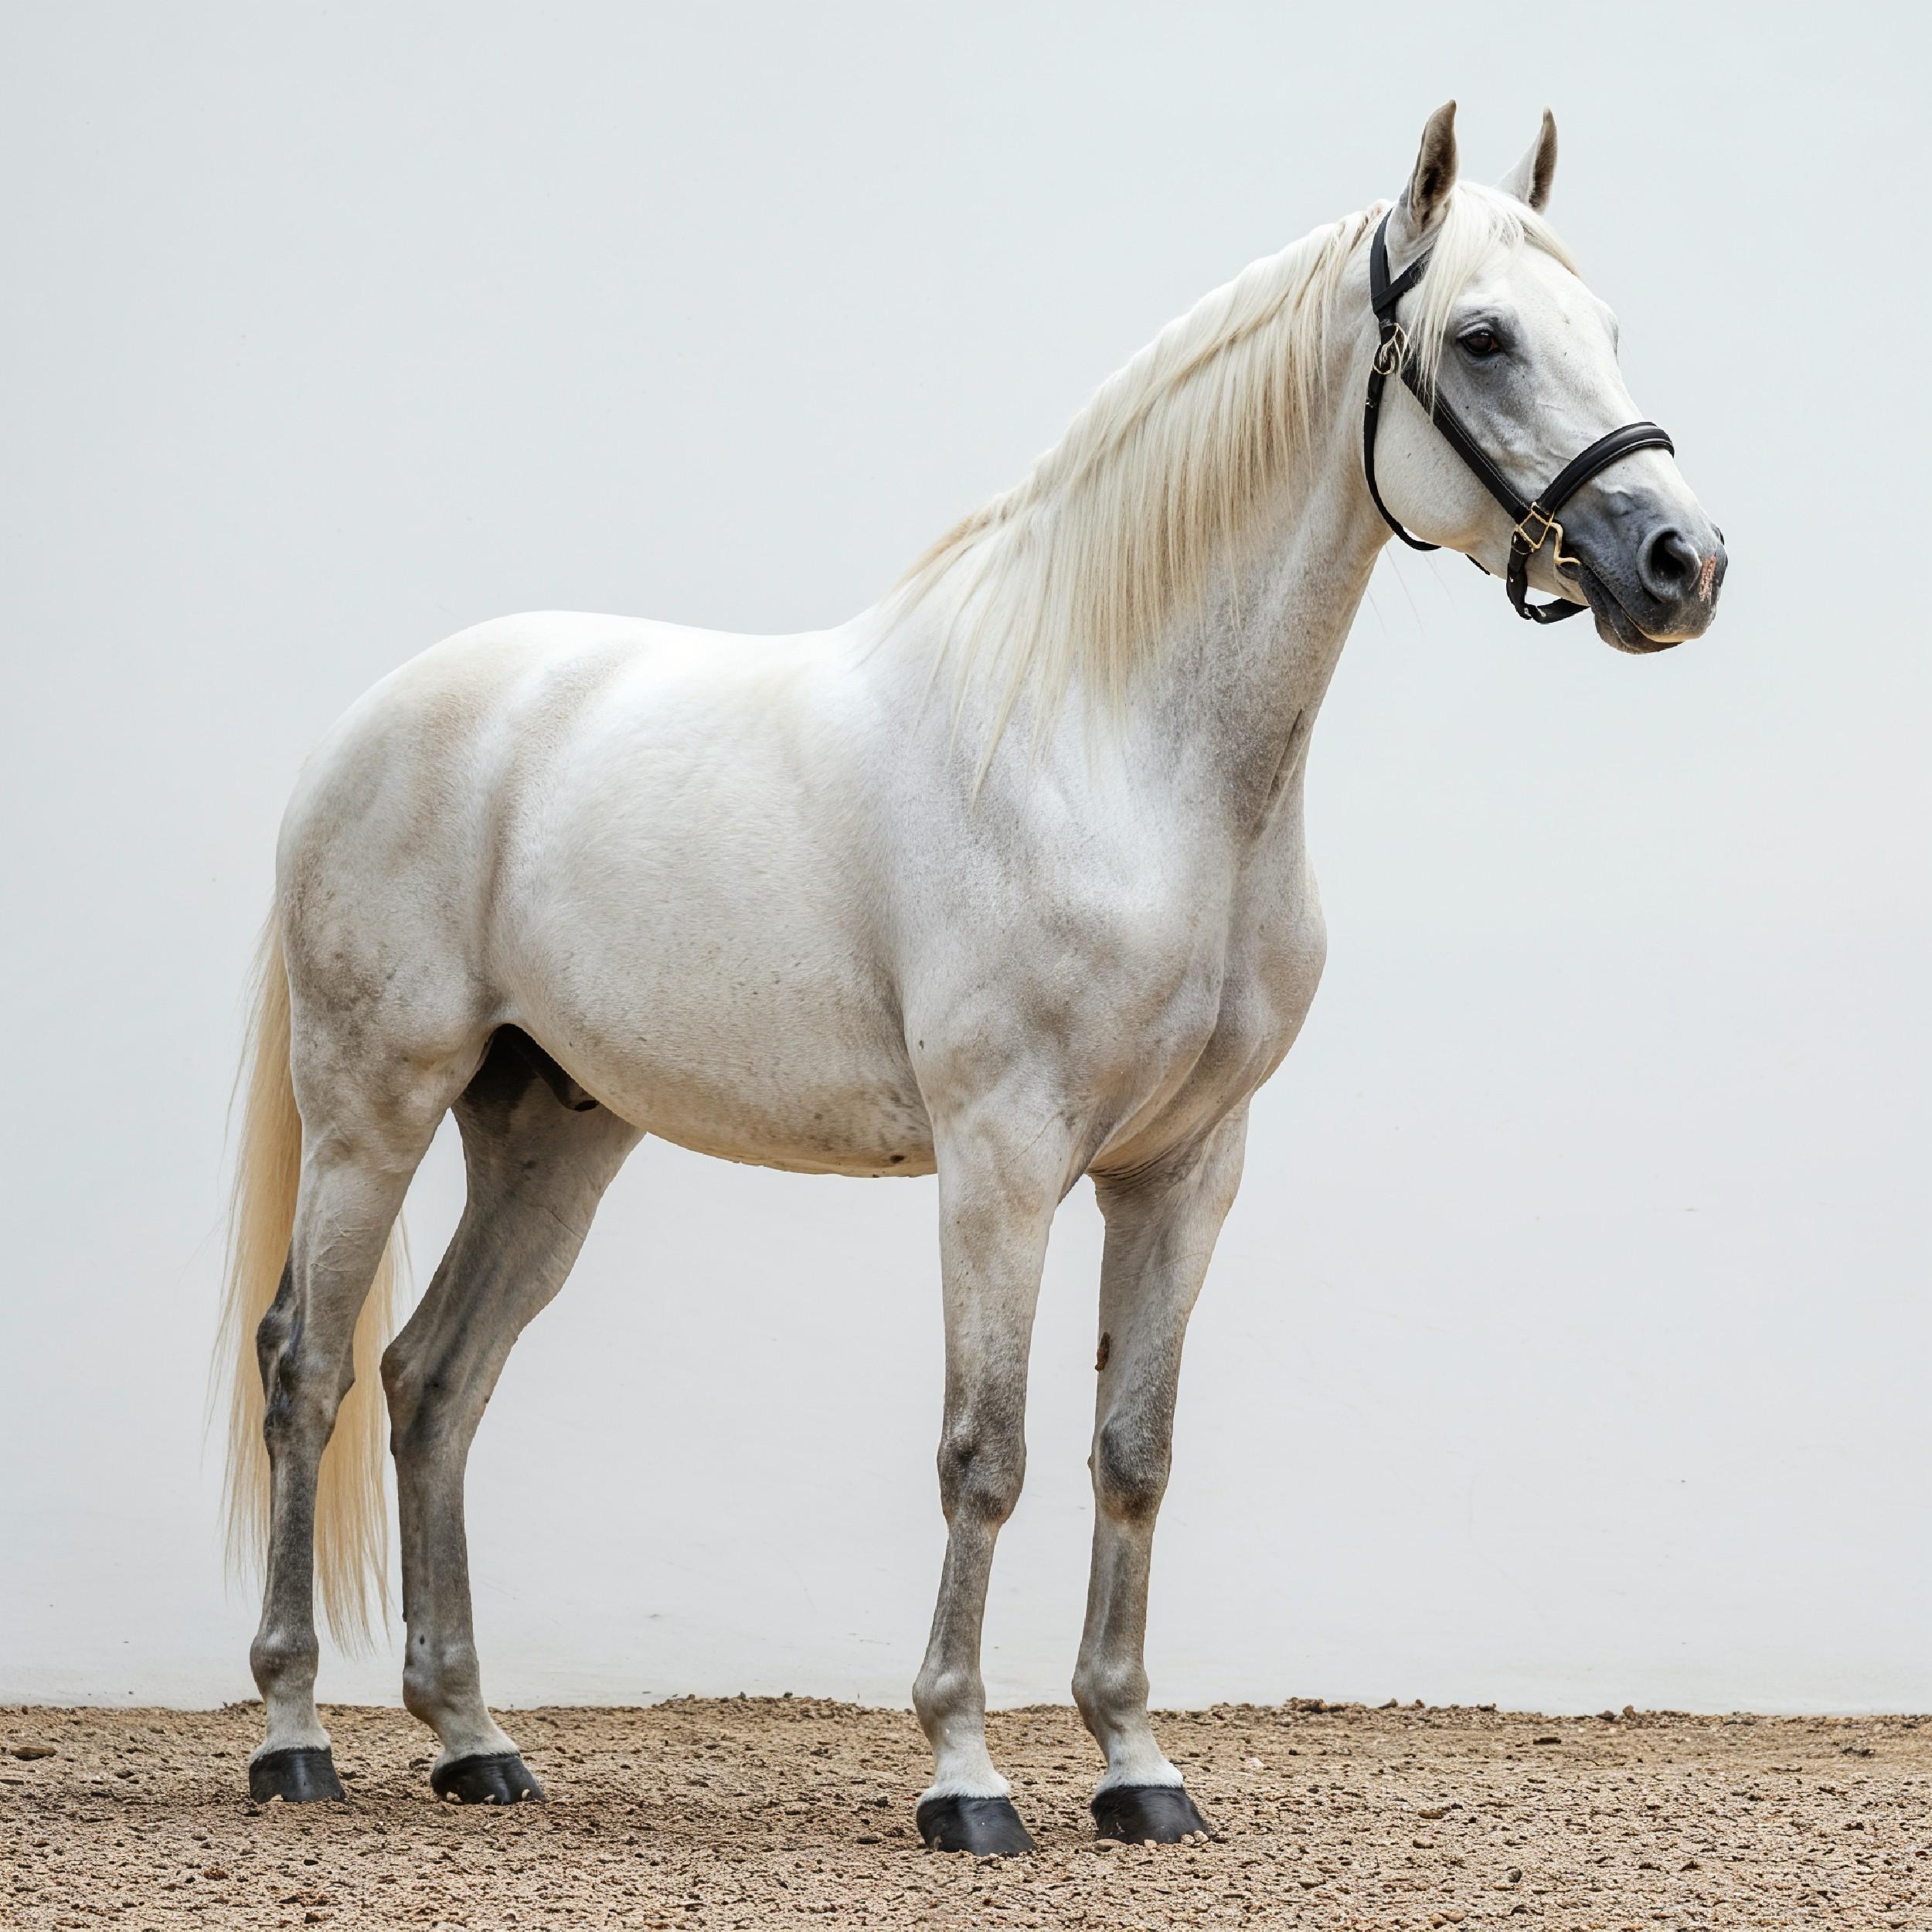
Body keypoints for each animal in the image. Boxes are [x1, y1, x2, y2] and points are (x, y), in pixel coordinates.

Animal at [216, 103, 1726, 1853]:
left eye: (1603, 327)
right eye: (1483, 337)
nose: (1680, 562)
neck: (1117, 743)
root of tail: (372, 721)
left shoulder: (1184, 1170)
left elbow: (1131, 1452)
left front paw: (1138, 1766)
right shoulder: (1002, 1158)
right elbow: (984, 1450)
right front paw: (965, 1776)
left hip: (550, 1132)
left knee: (436, 1379)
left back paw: (473, 1739)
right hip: (372, 1103)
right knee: (310, 1369)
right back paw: (291, 1735)